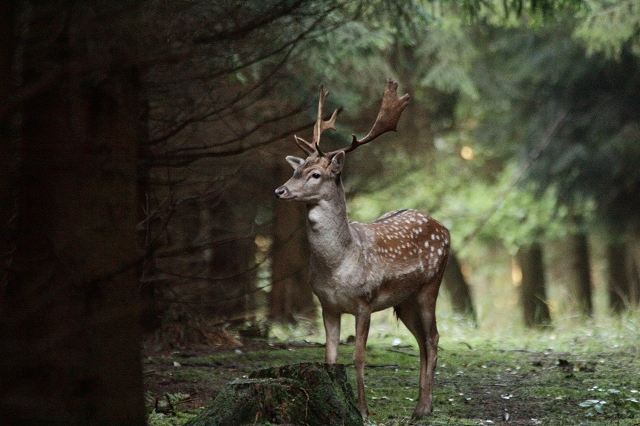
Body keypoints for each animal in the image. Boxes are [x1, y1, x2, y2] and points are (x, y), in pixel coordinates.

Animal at [276, 77, 450, 420]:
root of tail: (446, 229)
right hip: (404, 301)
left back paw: (423, 408)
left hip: (430, 285)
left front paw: (363, 410)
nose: (280, 190)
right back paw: (423, 404)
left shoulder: (365, 301)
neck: (338, 264)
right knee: (422, 341)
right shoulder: (326, 305)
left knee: (434, 337)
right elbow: (330, 358)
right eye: (294, 170)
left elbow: (358, 357)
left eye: (315, 174)